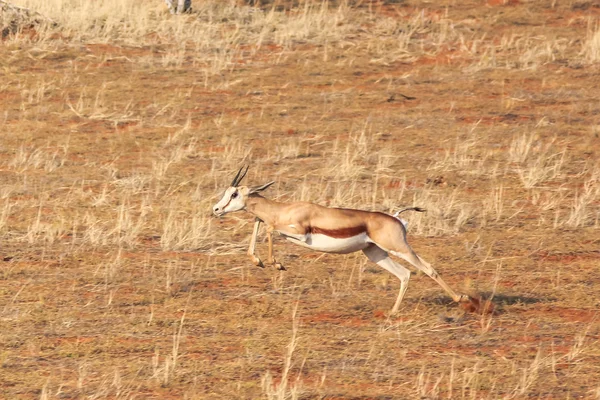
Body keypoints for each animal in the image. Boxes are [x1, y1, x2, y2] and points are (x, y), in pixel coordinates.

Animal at [212, 167, 474, 314]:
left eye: (234, 193)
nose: (216, 209)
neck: (284, 209)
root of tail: (396, 218)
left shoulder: (300, 233)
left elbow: (269, 227)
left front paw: (277, 264)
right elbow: (260, 223)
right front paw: (258, 261)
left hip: (399, 248)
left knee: (428, 268)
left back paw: (462, 299)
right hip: (376, 253)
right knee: (405, 274)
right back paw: (392, 312)